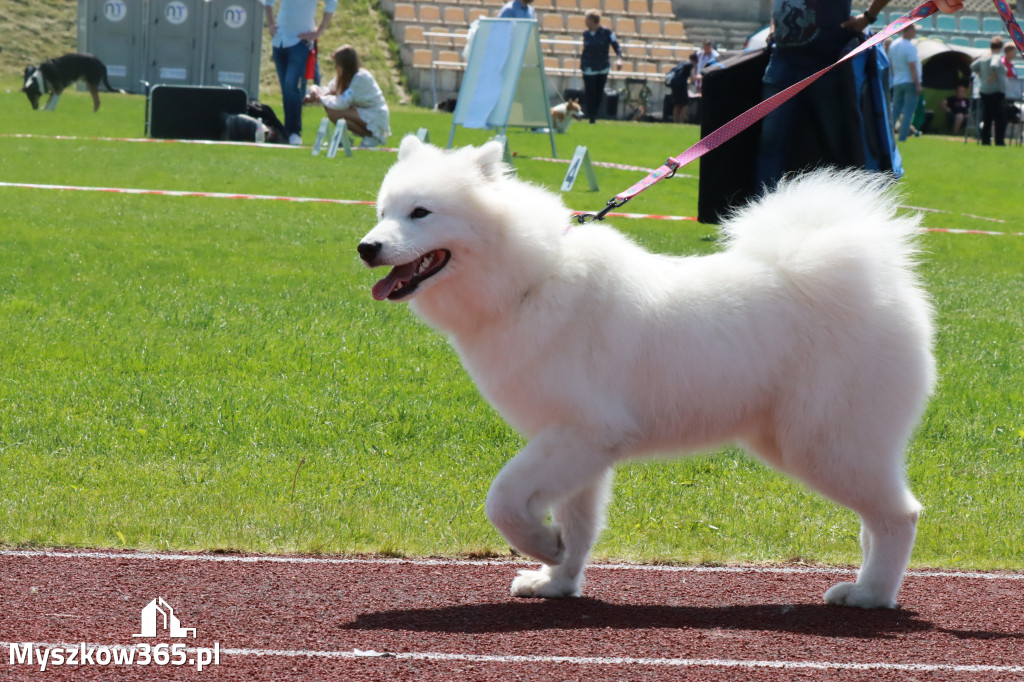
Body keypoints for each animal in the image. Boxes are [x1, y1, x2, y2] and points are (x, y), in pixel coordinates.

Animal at [360, 135, 937, 606]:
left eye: (420, 212)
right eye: (383, 209)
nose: (367, 247)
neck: (529, 281)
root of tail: (878, 285)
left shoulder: (581, 432)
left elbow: (502, 498)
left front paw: (542, 545)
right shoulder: (579, 446)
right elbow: (579, 524)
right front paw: (556, 580)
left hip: (825, 444)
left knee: (900, 515)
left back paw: (871, 595)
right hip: (807, 444)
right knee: (876, 518)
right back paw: (865, 586)